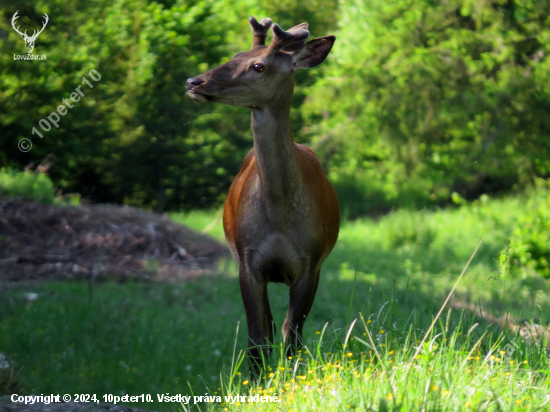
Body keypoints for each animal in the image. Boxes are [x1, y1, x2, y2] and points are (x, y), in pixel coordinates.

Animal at [187, 16, 340, 376]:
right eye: (234, 56)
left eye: (258, 66)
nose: (194, 81)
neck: (280, 218)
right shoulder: (248, 260)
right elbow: (258, 336)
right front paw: (258, 380)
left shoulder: (310, 263)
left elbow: (292, 335)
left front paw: (290, 379)